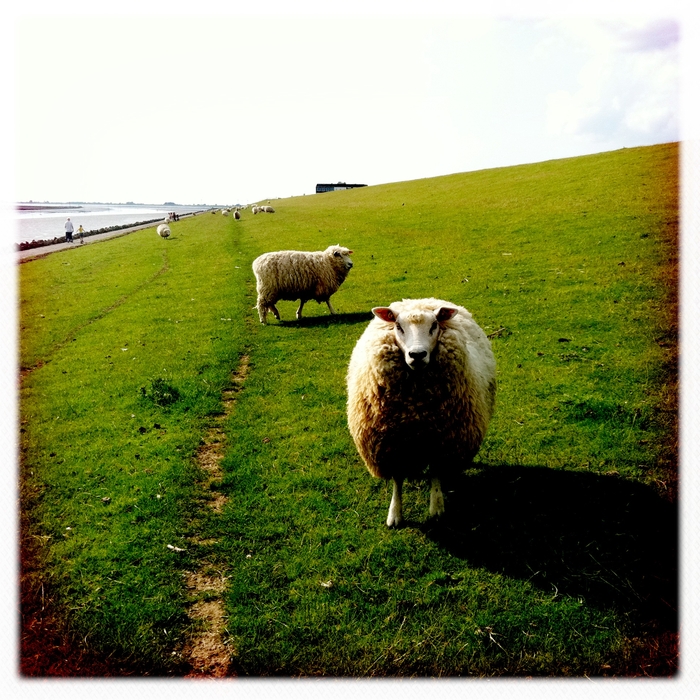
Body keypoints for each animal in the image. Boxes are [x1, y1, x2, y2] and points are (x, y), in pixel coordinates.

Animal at [348, 298, 494, 528]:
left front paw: (437, 507)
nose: (417, 355)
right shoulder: (393, 446)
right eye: (398, 326)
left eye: (434, 325)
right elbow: (397, 480)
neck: (415, 410)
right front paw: (395, 513)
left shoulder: (440, 441)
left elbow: (435, 472)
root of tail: (420, 300)